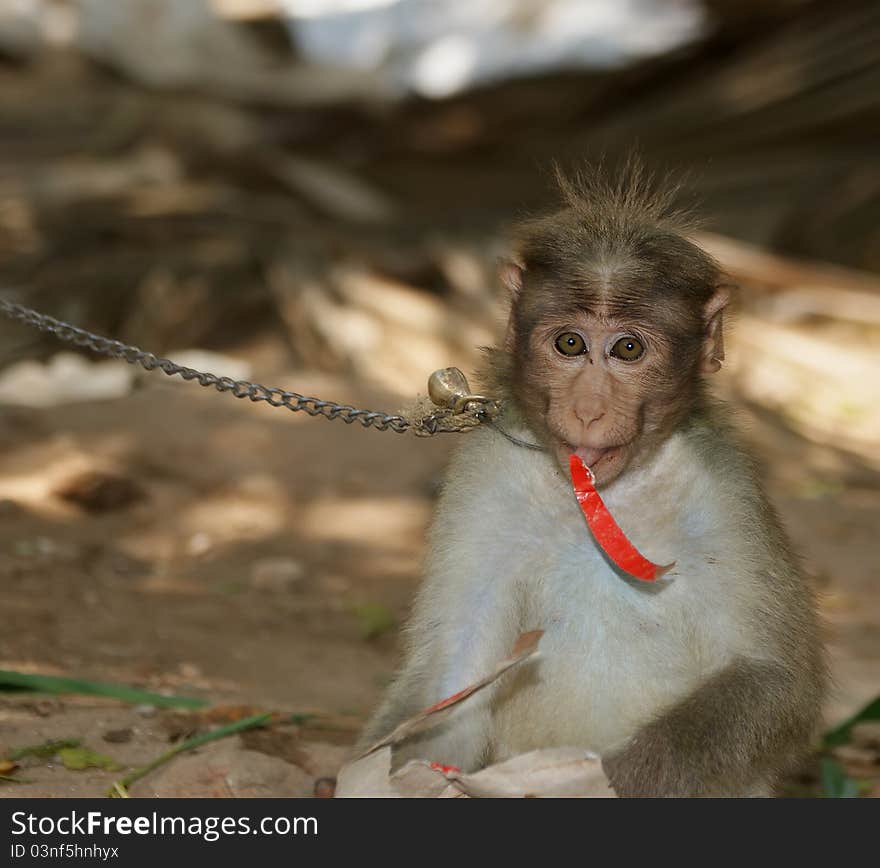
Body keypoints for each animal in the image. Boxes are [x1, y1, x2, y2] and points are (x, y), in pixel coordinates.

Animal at [356, 159, 824, 796]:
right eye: (570, 343)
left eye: (627, 349)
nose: (588, 410)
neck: (596, 497)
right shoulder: (484, 473)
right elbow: (453, 679)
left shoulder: (726, 489)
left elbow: (774, 679)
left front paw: (603, 780)